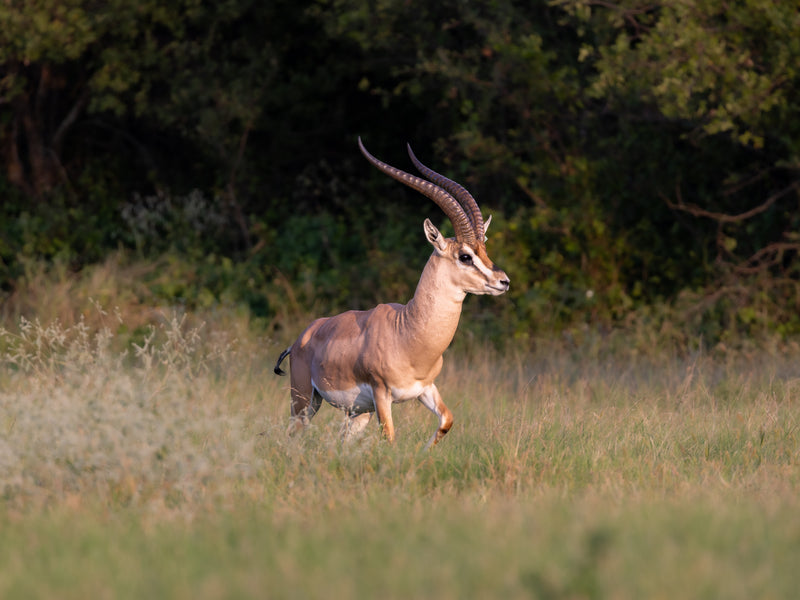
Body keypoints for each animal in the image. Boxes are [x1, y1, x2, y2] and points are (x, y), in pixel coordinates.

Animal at [273, 138, 509, 448]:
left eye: (484, 249)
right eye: (465, 256)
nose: (503, 281)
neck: (408, 332)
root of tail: (299, 339)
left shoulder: (425, 388)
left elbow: (447, 421)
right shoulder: (382, 394)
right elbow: (390, 438)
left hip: (357, 412)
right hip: (304, 402)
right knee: (291, 436)